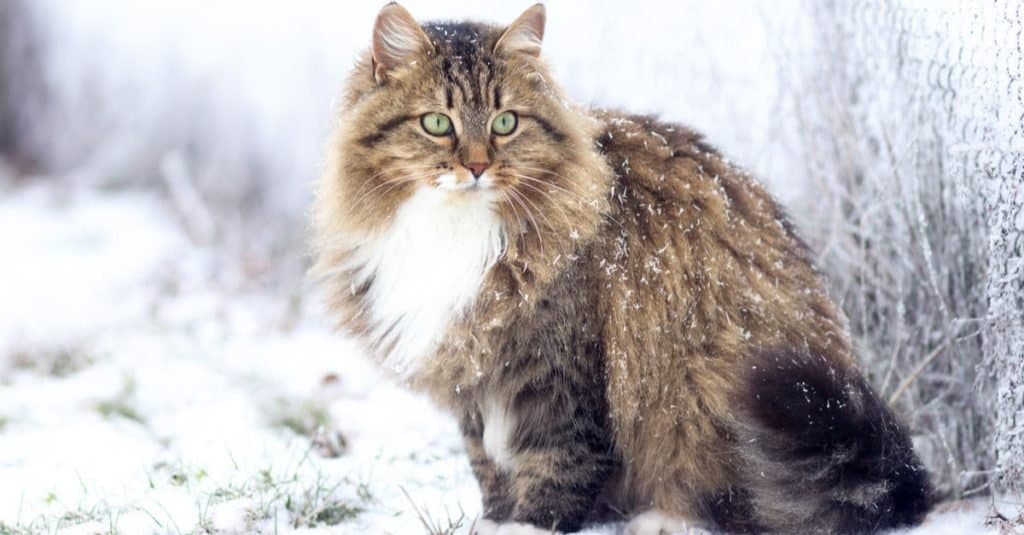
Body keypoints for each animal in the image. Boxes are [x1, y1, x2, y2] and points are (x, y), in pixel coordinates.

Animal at [307, 3, 933, 528]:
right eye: (437, 123)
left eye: (506, 123)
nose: (479, 166)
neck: (454, 232)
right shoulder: (473, 377)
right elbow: (489, 470)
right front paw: (496, 523)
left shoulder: (558, 378)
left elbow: (556, 473)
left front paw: (531, 526)